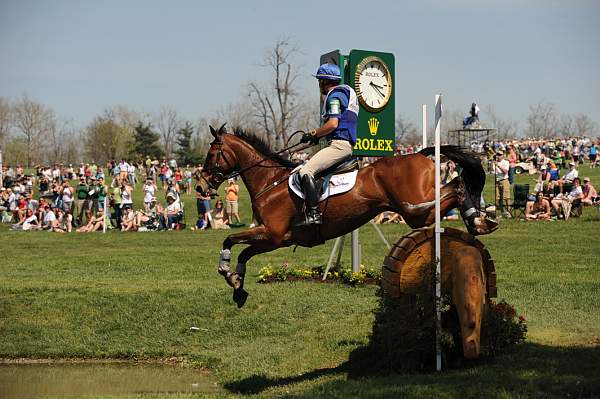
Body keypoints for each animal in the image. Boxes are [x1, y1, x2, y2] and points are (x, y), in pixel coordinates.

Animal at [197, 126, 496, 308]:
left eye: (212, 154)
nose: (200, 187)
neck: (270, 183)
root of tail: (420, 155)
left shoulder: (273, 234)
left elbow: (229, 239)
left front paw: (226, 272)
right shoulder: (276, 239)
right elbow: (244, 253)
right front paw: (237, 285)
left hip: (414, 210)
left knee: (457, 185)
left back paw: (479, 219)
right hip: (417, 213)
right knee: (454, 186)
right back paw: (479, 220)